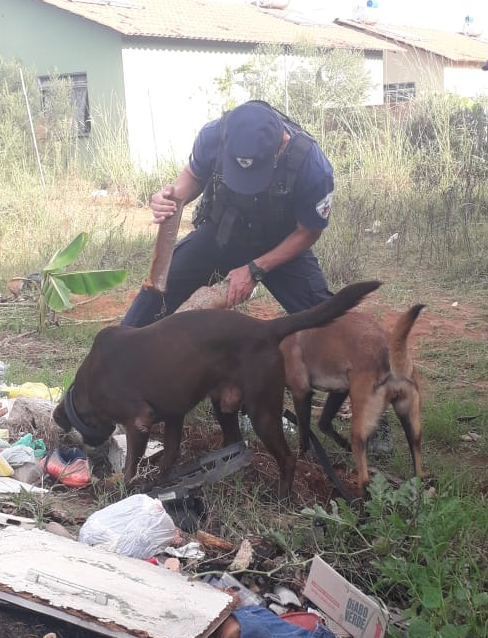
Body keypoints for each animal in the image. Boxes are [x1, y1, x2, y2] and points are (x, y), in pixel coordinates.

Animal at [54, 282, 382, 500]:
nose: (89, 449)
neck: (87, 387)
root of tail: (266, 328)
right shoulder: (174, 415)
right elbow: (169, 455)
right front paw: (157, 483)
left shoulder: (138, 421)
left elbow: (132, 463)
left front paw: (124, 486)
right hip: (224, 407)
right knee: (235, 443)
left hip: (263, 411)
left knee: (288, 459)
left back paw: (281, 497)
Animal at [280, 304, 426, 496]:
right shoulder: (341, 389)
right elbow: (323, 423)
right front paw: (343, 444)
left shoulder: (301, 394)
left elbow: (304, 433)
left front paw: (304, 458)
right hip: (411, 425)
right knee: (418, 472)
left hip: (360, 427)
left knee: (364, 479)